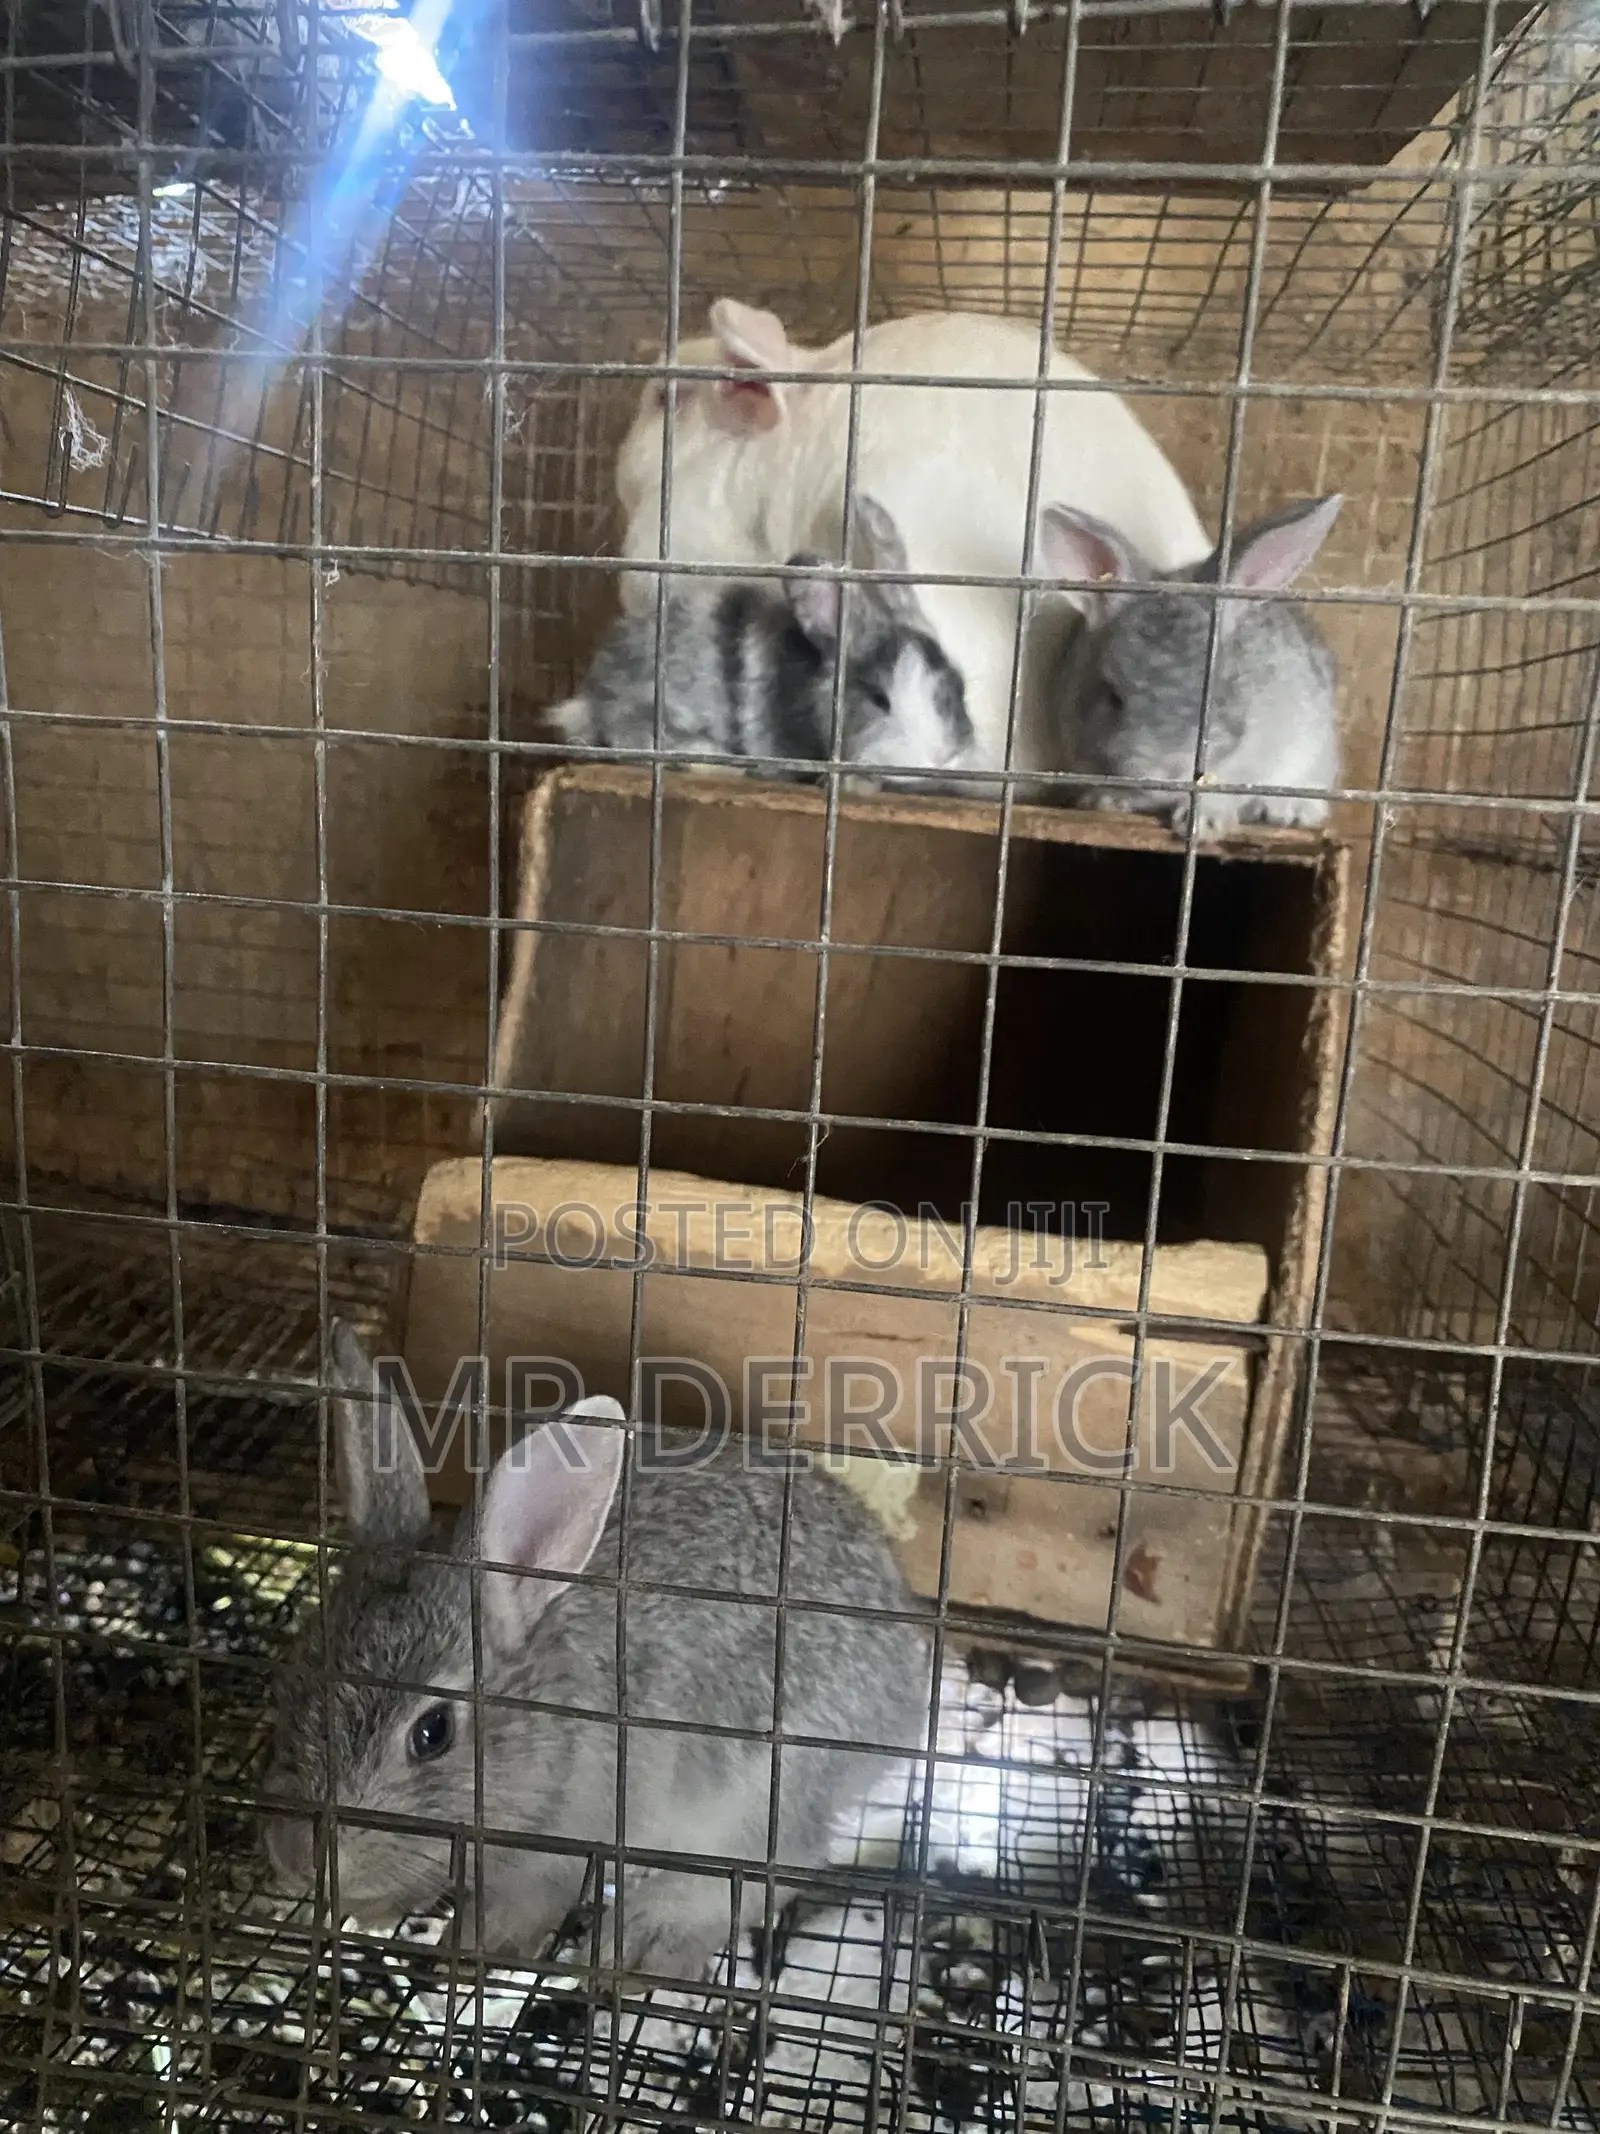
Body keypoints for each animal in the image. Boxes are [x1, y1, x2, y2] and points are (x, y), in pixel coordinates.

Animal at [262, 1322, 932, 1987]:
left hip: (760, 1792)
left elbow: (526, 1905)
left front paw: (476, 1945)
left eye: (432, 1732)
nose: (296, 1858)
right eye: (294, 1675)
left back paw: (640, 1941)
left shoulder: (558, 1847)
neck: (543, 1712)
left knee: (771, 1869)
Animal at [1038, 494, 1343, 837]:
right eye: (1112, 697)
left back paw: (1290, 811)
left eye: (1212, 701)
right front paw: (1105, 800)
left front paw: (1203, 821)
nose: (1159, 772)